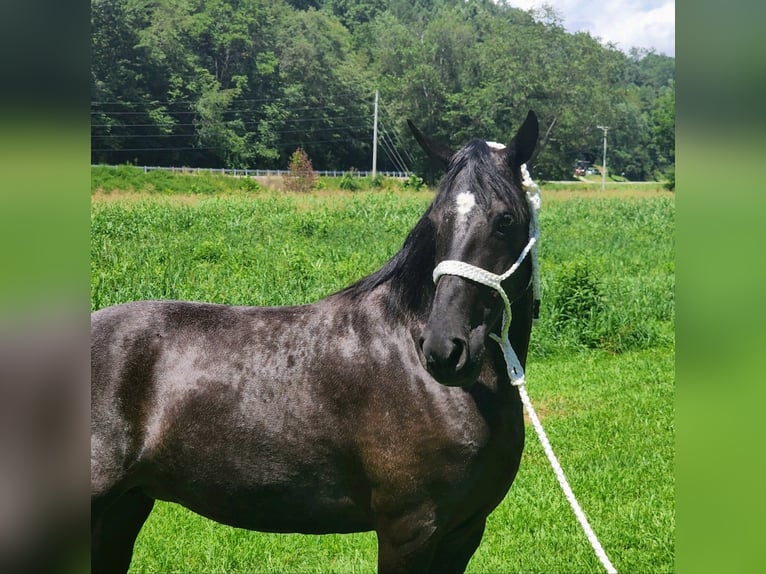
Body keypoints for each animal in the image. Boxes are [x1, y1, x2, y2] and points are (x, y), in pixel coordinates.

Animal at [91, 110, 540, 572]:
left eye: (505, 220)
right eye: (436, 221)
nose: (443, 350)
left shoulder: (463, 533)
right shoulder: (409, 531)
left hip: (123, 510)